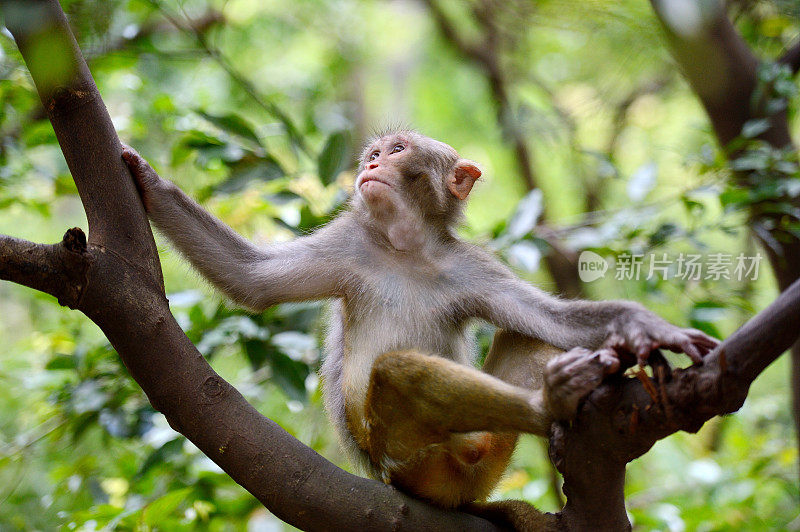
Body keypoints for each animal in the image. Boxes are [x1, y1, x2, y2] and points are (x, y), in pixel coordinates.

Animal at [120, 130, 720, 512]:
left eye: (396, 151)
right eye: (374, 153)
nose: (369, 166)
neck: (405, 247)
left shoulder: (471, 268)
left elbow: (551, 320)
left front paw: (644, 329)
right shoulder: (347, 244)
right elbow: (250, 280)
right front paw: (144, 175)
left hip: (481, 462)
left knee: (527, 340)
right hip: (409, 458)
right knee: (401, 373)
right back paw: (551, 401)